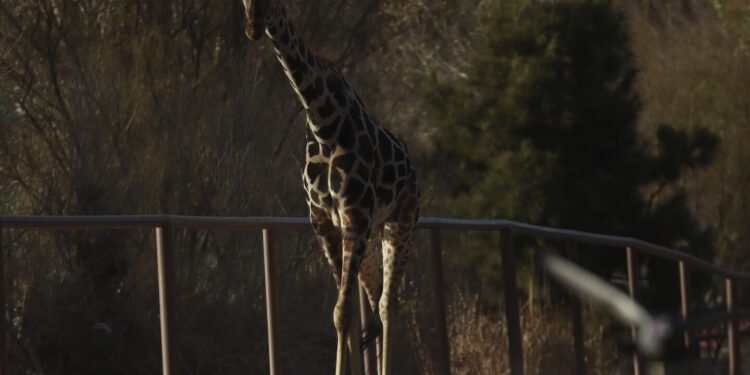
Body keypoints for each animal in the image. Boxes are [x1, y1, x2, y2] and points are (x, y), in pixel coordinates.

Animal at [244, 1, 424, 374]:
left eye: (275, 2)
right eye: (241, 2)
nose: (253, 27)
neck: (323, 122)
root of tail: (413, 168)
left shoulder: (354, 218)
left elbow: (343, 312)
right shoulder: (324, 220)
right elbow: (345, 315)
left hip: (401, 223)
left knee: (388, 304)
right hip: (372, 235)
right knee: (374, 298)